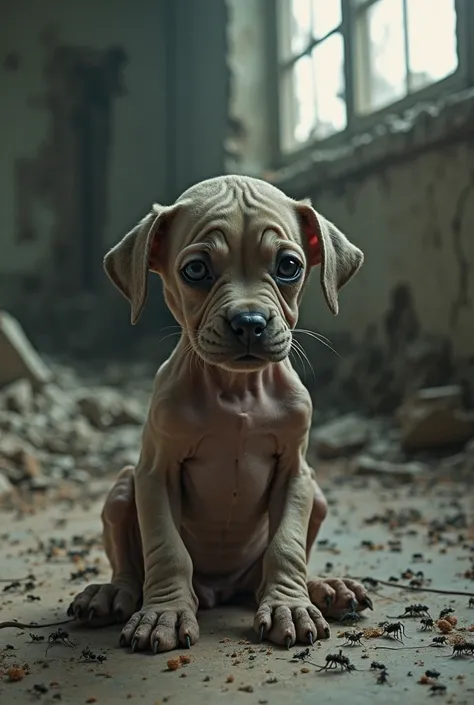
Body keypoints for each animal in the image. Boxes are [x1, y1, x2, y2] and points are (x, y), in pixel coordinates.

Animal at [67, 176, 370, 656]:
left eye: (288, 266)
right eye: (195, 270)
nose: (250, 322)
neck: (237, 391)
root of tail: (222, 590)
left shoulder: (297, 474)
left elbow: (286, 546)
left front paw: (290, 607)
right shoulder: (155, 474)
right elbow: (166, 550)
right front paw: (164, 614)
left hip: (316, 497)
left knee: (266, 574)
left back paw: (322, 588)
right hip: (122, 487)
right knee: (131, 568)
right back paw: (114, 593)